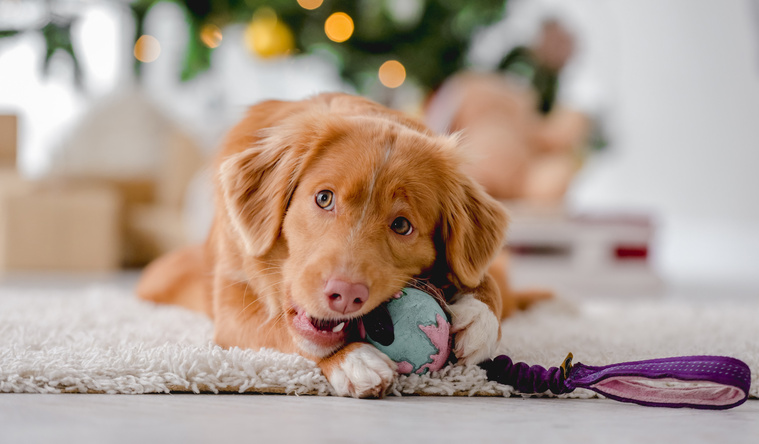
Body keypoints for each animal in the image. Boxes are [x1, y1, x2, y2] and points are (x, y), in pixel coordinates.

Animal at [137, 92, 516, 398]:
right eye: (324, 198)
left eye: (402, 225)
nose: (346, 294)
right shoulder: (231, 308)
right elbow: (281, 329)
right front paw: (352, 359)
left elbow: (484, 278)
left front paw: (479, 317)